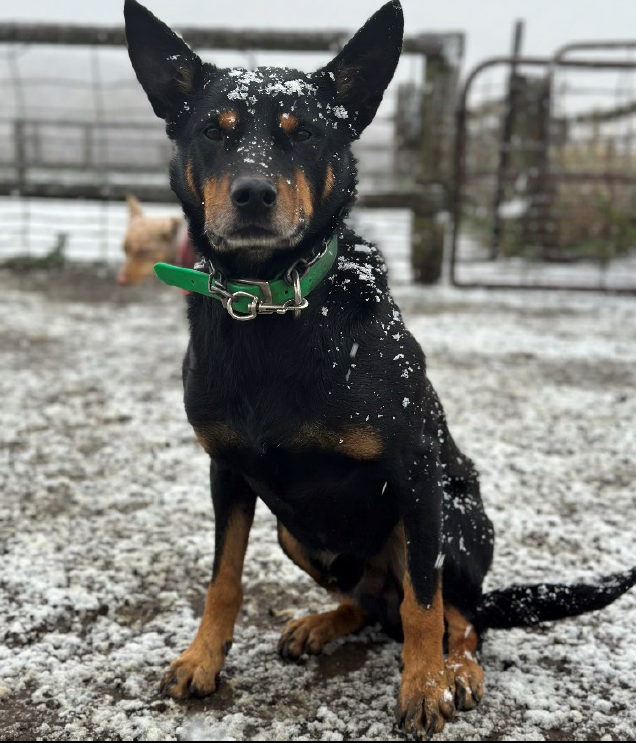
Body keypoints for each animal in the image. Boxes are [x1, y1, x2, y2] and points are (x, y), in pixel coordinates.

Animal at [125, 2, 636, 740]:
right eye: (214, 130)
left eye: (304, 132)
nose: (253, 195)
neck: (275, 304)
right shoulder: (226, 471)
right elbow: (223, 577)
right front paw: (201, 658)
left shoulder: (416, 472)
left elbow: (426, 603)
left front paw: (425, 686)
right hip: (295, 531)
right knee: (369, 604)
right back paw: (321, 622)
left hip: (456, 514)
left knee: (458, 613)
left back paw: (459, 668)